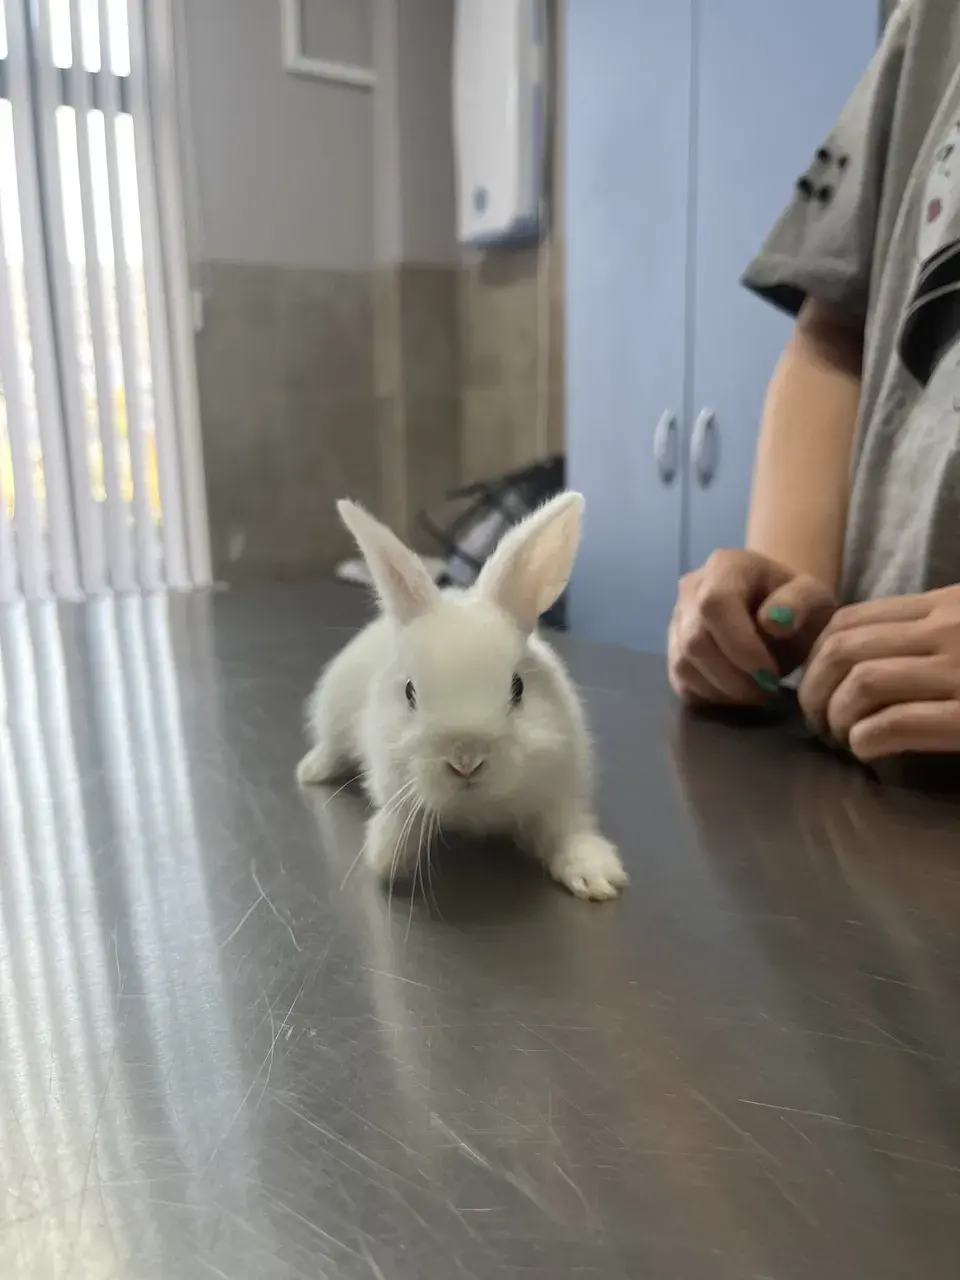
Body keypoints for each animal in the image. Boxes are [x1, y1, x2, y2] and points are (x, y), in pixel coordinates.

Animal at [296, 492, 627, 901]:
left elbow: (566, 830)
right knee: (330, 746)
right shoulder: (394, 780)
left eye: (518, 688)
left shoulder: (560, 791)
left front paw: (597, 876)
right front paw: (387, 858)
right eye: (410, 692)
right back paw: (311, 771)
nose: (466, 760)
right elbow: (399, 818)